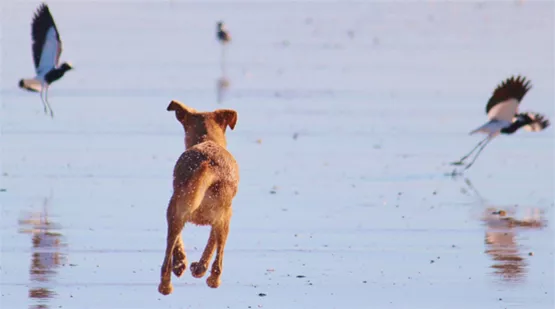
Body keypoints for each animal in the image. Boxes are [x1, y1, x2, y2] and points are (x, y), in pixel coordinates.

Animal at [159, 100, 241, 294]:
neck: (207, 139)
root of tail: (208, 165)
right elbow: (211, 244)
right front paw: (196, 267)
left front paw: (185, 264)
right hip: (223, 216)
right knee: (218, 262)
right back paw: (210, 279)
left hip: (177, 208)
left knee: (168, 258)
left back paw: (168, 283)